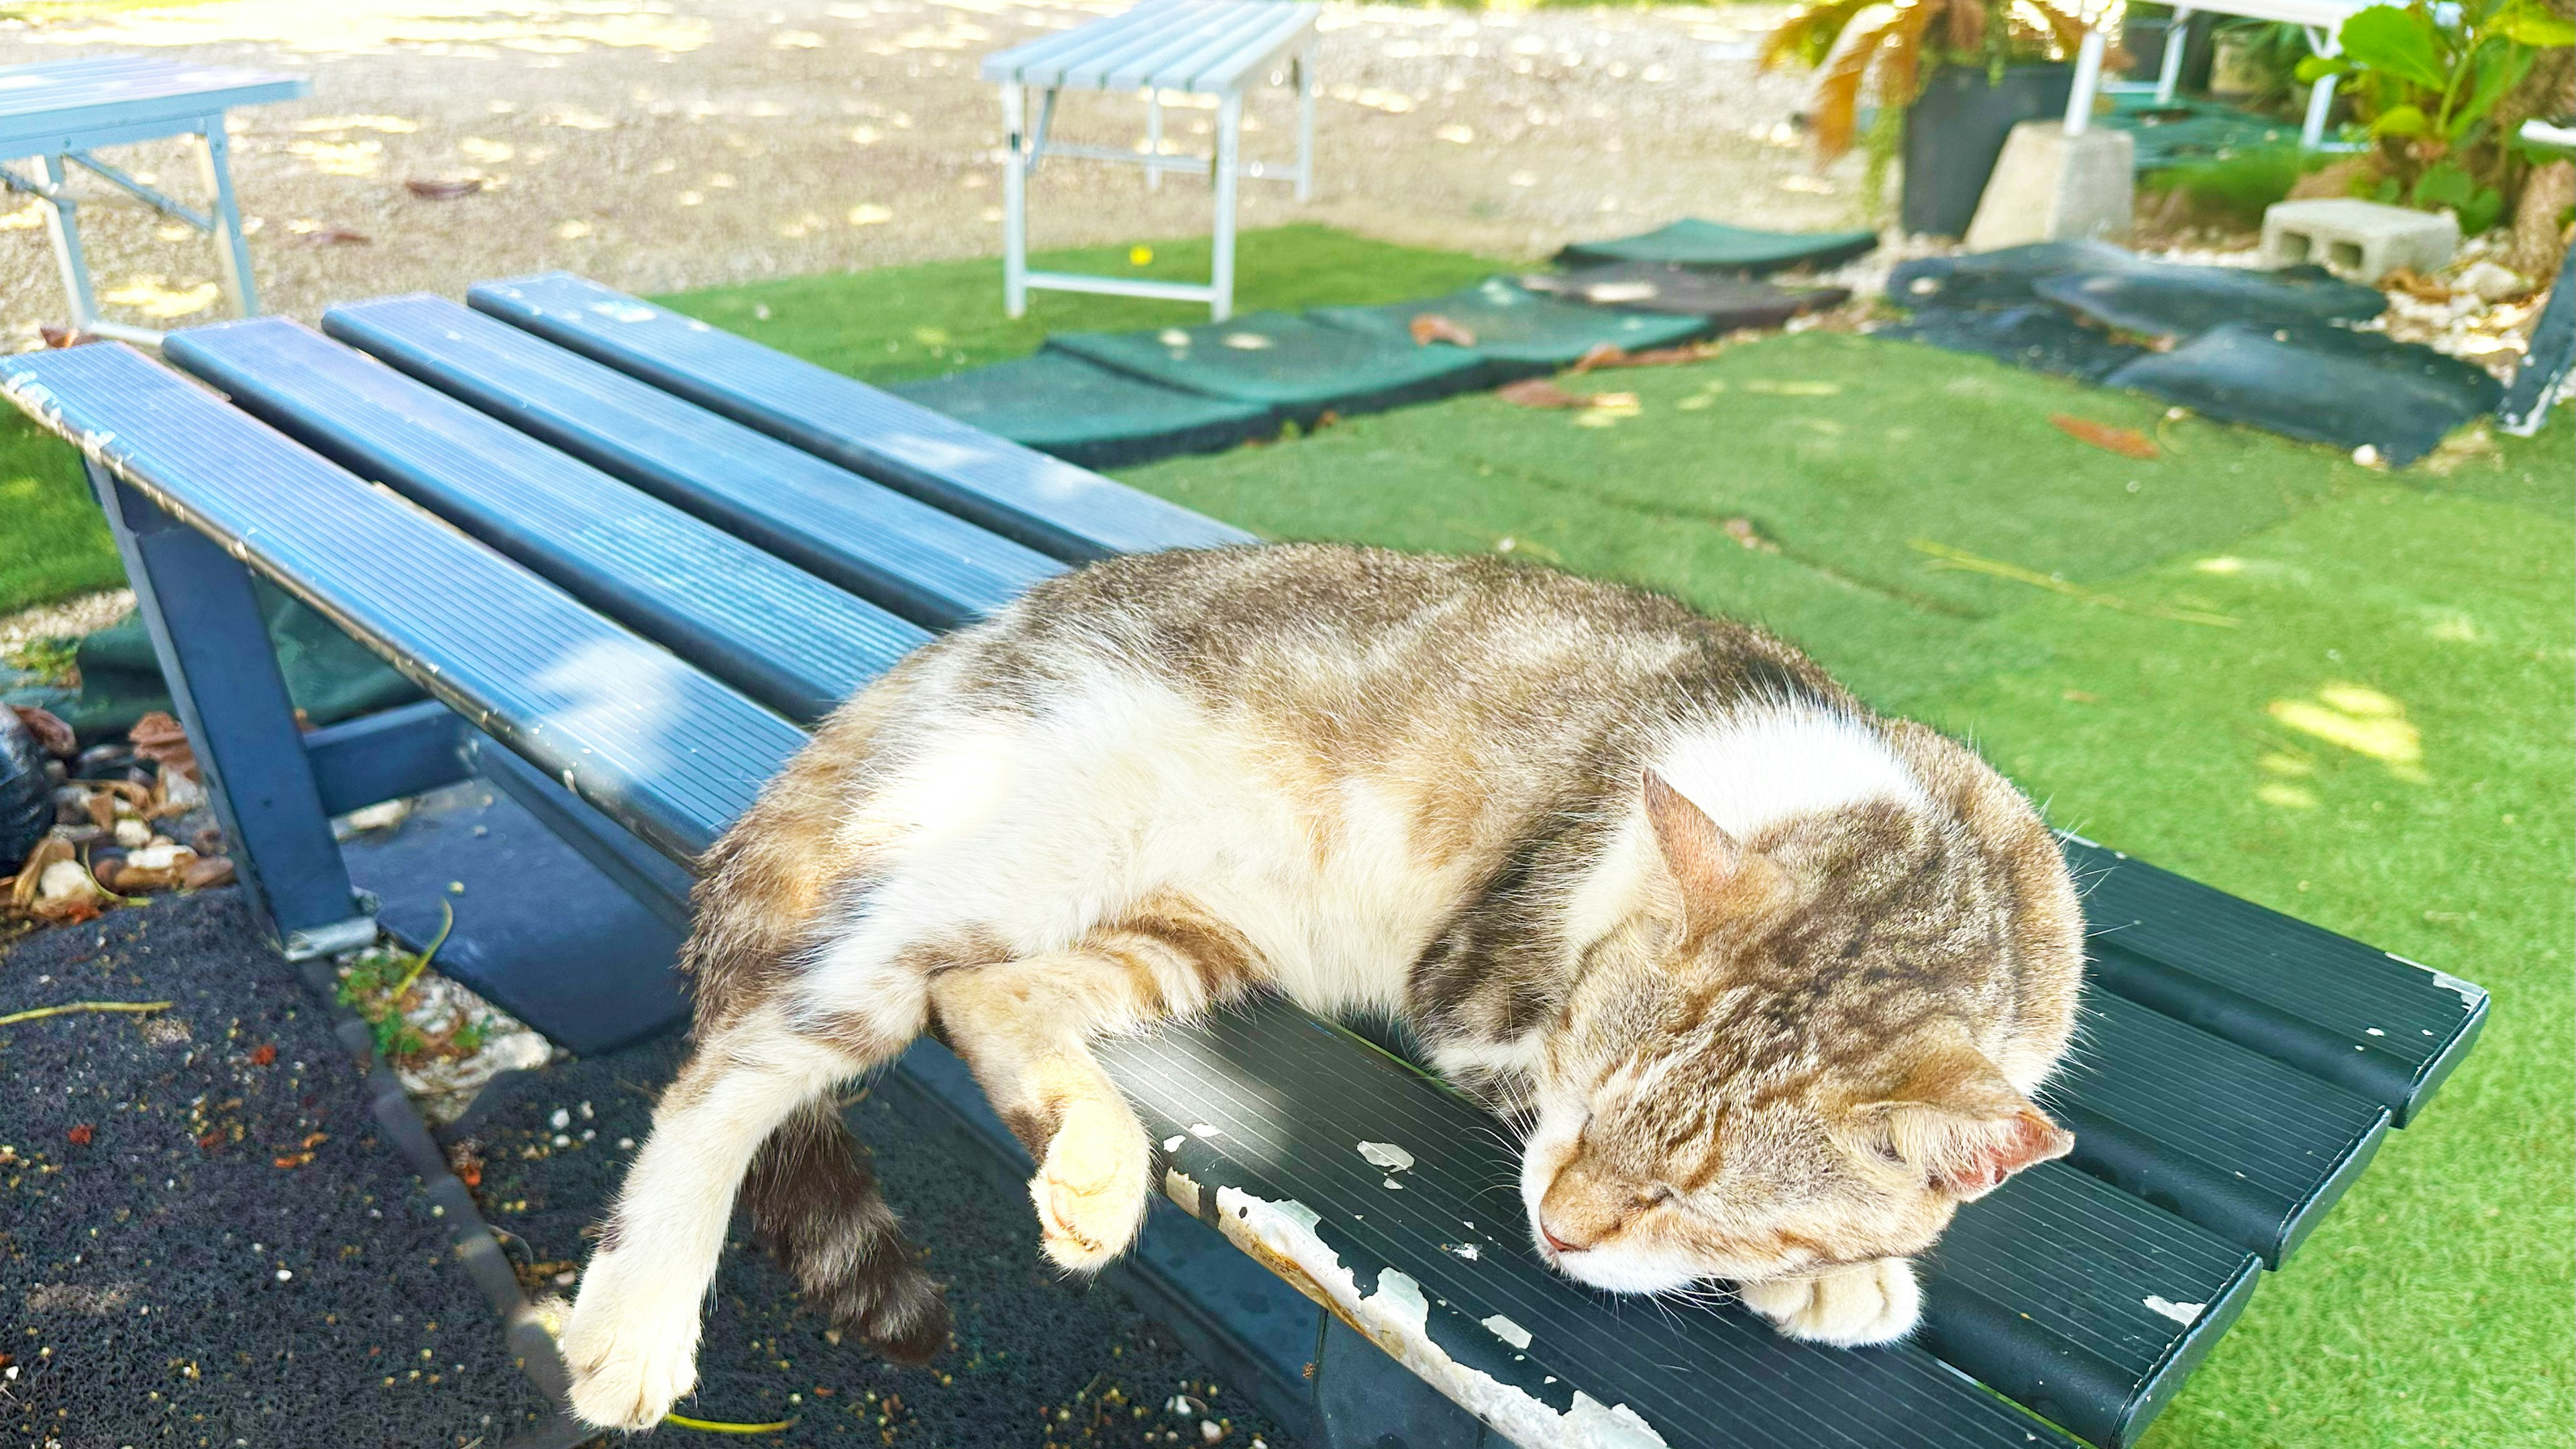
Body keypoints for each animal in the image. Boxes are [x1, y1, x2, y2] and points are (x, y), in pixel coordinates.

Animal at [553, 539, 2081, 1423]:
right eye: (1587, 1101)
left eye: (1694, 1196)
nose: (1563, 1233)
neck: (1866, 829)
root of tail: (972, 646)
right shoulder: (1481, 999)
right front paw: (1854, 1271)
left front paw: (1851, 1261)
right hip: (1010, 847)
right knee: (748, 1061)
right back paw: (636, 1322)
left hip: (1192, 929)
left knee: (983, 1000)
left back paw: (1094, 1164)